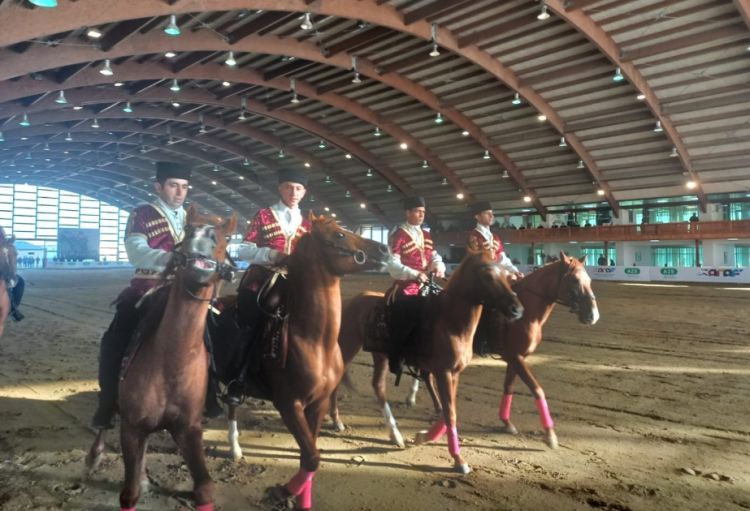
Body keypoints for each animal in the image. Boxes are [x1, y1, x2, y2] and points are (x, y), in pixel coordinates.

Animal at [85, 207, 238, 511]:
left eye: (225, 237)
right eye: (189, 229)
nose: (200, 244)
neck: (172, 365)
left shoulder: (188, 430)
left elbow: (205, 488)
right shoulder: (132, 428)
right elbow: (129, 494)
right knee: (105, 417)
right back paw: (94, 456)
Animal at [210, 214, 388, 510]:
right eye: (339, 234)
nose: (384, 249)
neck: (314, 340)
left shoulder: (318, 402)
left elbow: (310, 455)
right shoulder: (288, 404)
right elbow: (313, 457)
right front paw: (281, 491)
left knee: (231, 407)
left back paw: (235, 448)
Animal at [332, 246, 524, 474]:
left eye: (506, 274)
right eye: (487, 275)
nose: (517, 309)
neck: (450, 323)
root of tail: (353, 300)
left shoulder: (454, 373)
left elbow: (448, 410)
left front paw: (422, 436)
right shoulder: (443, 372)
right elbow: (450, 413)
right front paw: (458, 460)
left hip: (380, 355)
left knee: (378, 386)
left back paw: (395, 435)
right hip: (349, 346)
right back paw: (336, 421)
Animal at [490, 251, 604, 448]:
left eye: (589, 279)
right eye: (574, 280)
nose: (593, 315)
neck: (525, 314)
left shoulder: (515, 358)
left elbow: (508, 387)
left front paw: (506, 422)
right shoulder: (515, 357)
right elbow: (537, 389)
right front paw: (550, 434)